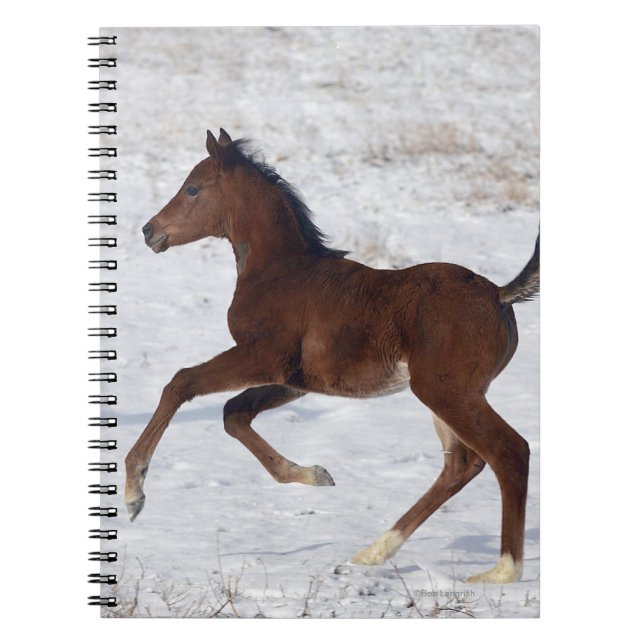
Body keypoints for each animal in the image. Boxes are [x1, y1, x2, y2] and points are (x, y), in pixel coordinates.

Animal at [125, 128, 539, 584]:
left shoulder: (263, 357)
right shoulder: (295, 380)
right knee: (461, 464)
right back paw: (373, 552)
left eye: (193, 188)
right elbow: (234, 414)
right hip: (446, 394)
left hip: (447, 392)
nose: (149, 230)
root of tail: (499, 294)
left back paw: (502, 571)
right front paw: (316, 475)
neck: (279, 270)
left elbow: (180, 383)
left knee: (509, 452)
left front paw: (134, 492)